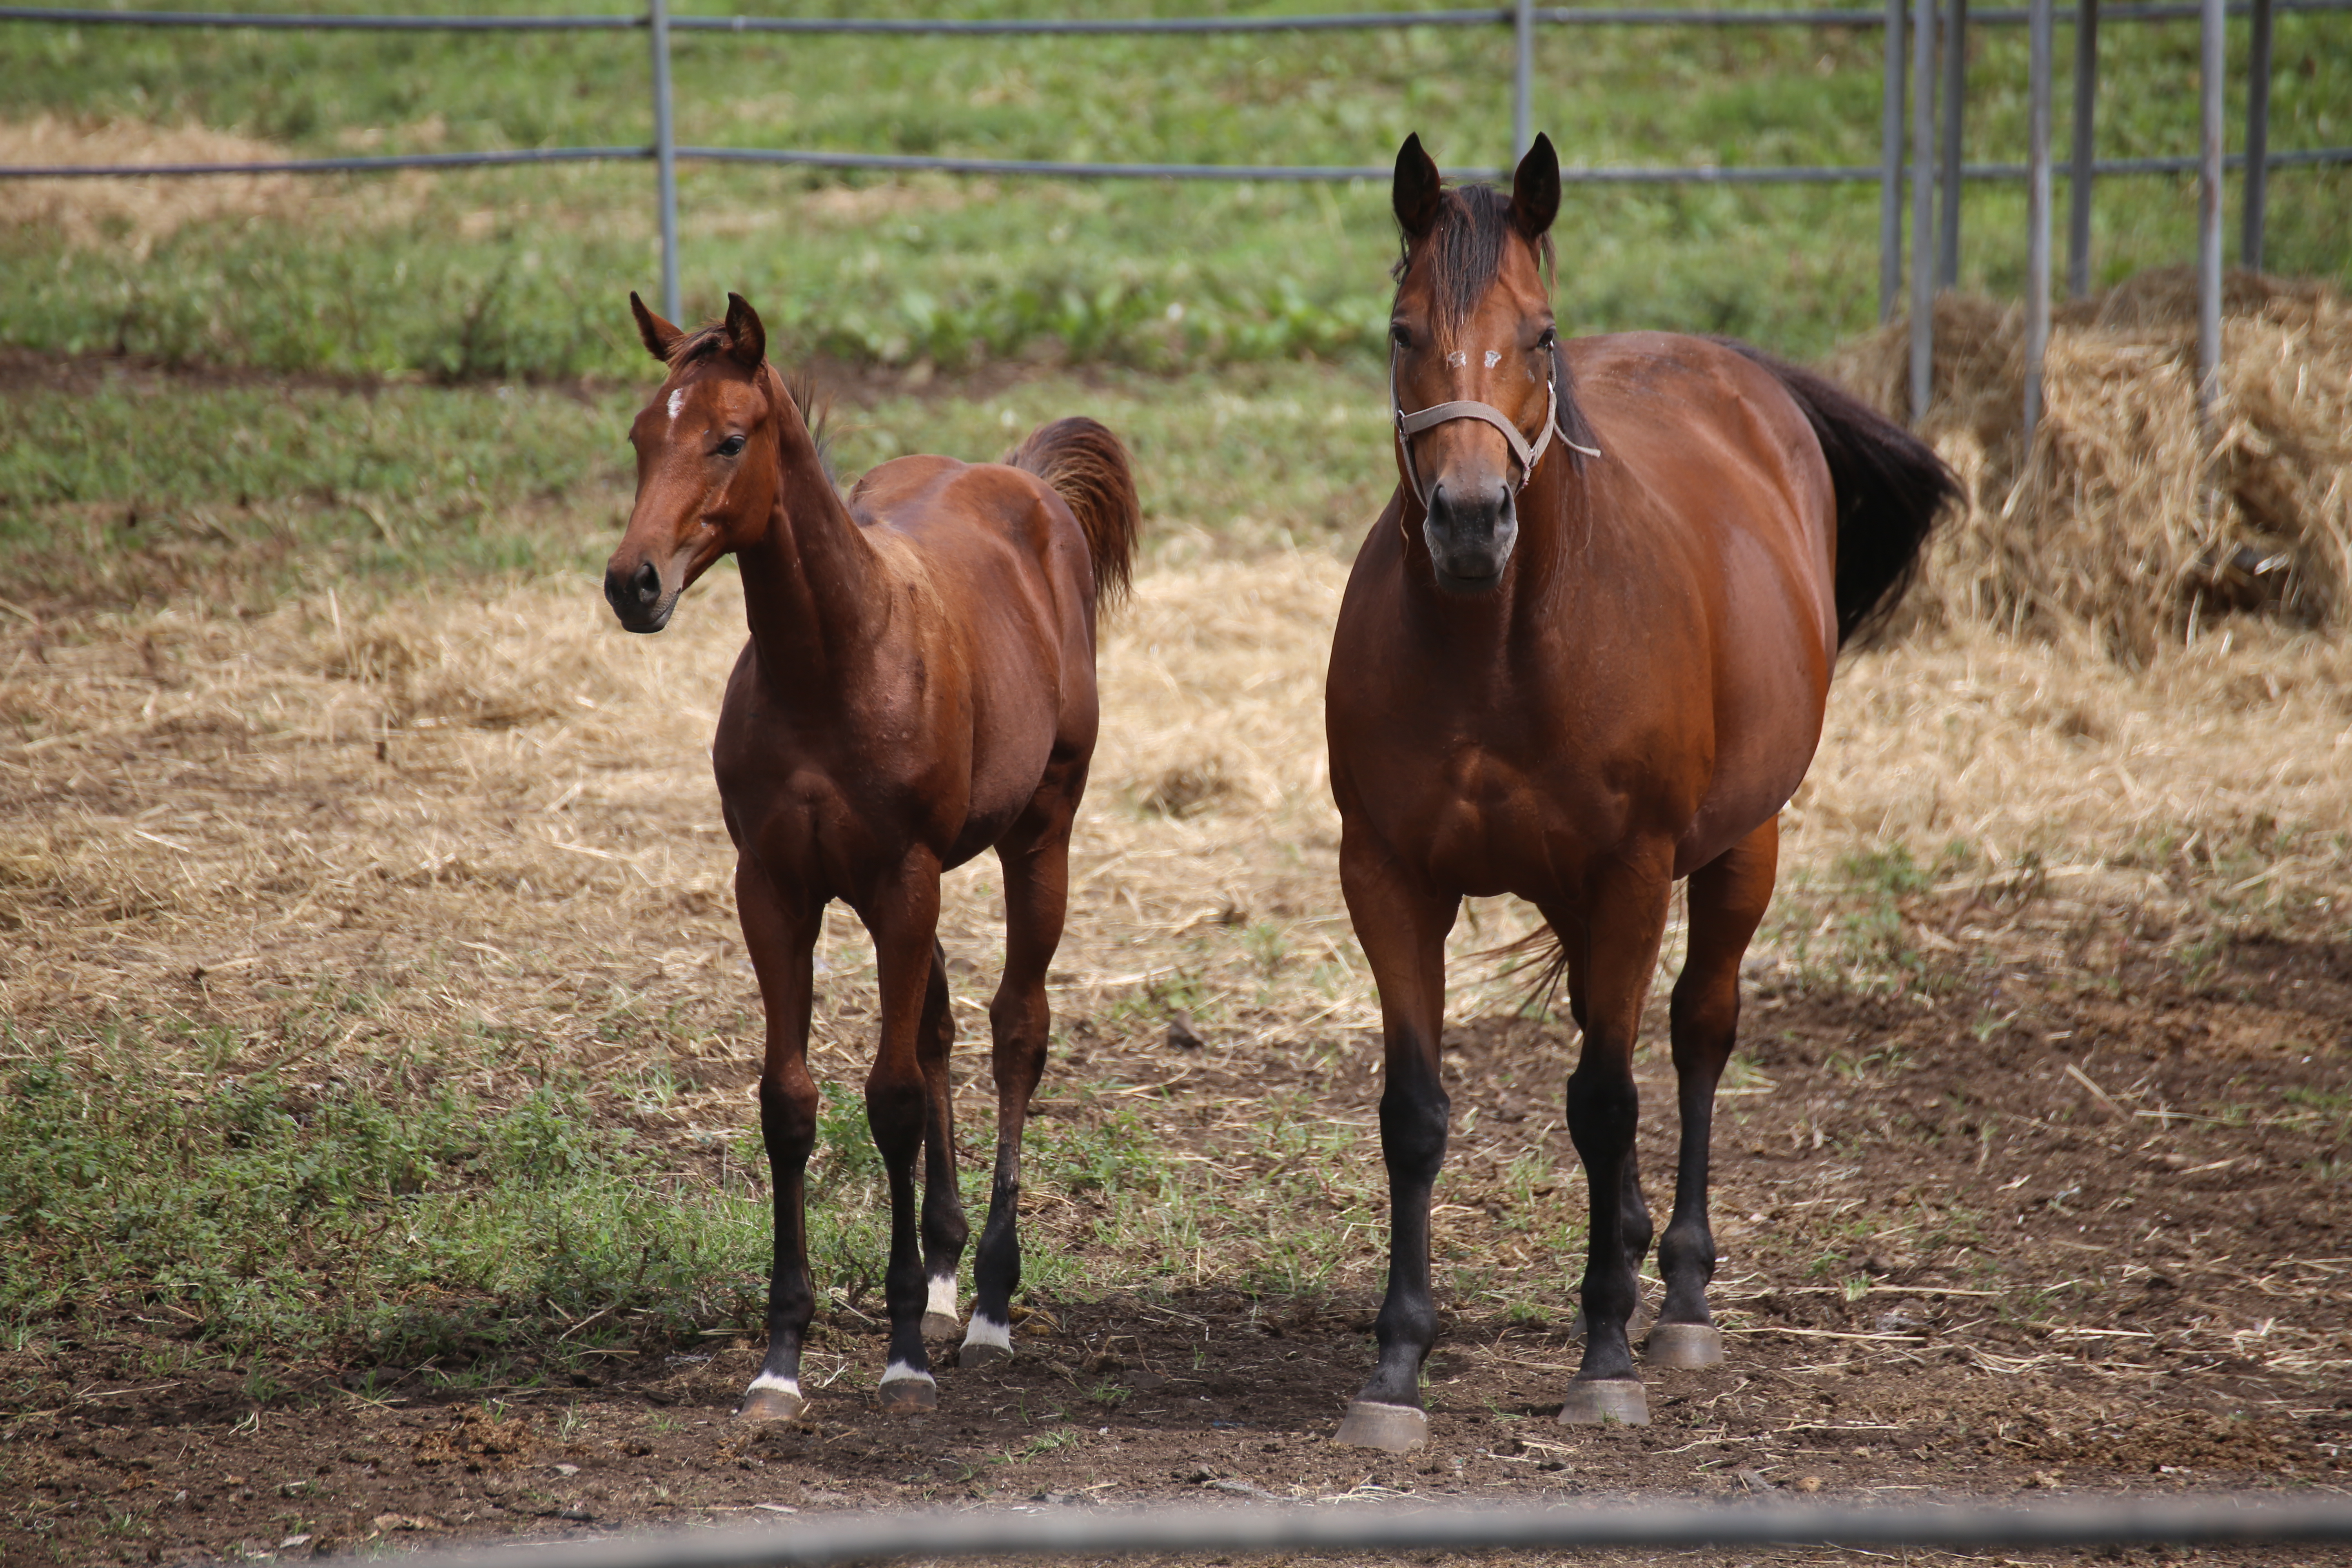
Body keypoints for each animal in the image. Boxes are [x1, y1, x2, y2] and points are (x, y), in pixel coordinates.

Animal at [607, 291, 1138, 1420]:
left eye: (729, 438)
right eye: (639, 437)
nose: (633, 583)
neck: (835, 661)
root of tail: (1020, 477)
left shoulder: (900, 879)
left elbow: (889, 1099)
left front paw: (900, 1358)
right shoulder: (773, 889)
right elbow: (790, 1102)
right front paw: (780, 1360)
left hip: (1040, 835)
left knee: (1015, 1029)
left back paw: (985, 1306)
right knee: (937, 1028)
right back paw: (941, 1280)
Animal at [1326, 141, 1966, 1457]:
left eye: (1540, 335)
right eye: (1403, 330)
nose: (1470, 519)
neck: (1496, 647)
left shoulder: (1628, 873)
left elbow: (1608, 1098)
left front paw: (1606, 1355)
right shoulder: (1389, 877)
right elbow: (1415, 1111)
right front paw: (1397, 1365)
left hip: (1738, 852)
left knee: (1692, 1034)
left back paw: (1674, 1292)